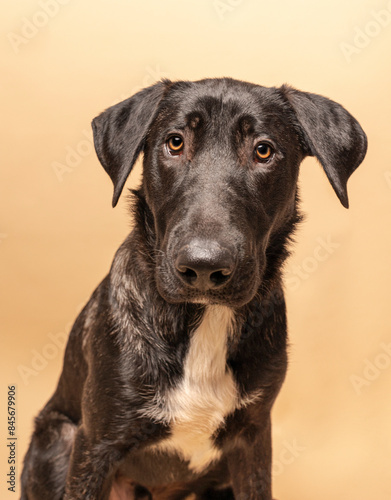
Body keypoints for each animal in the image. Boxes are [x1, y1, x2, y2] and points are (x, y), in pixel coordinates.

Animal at [20, 76, 368, 498]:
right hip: (59, 439)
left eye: (263, 150)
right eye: (175, 142)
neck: (205, 320)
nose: (204, 267)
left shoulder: (254, 440)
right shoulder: (96, 442)